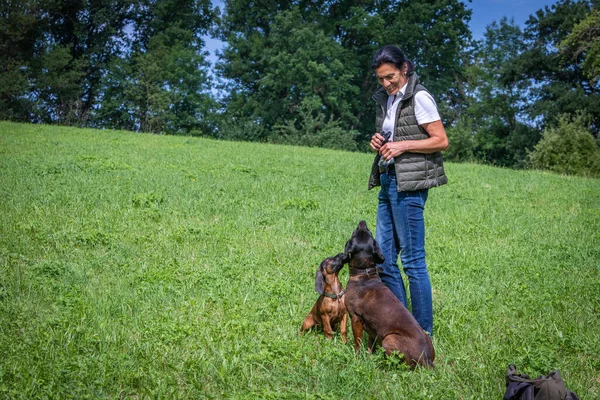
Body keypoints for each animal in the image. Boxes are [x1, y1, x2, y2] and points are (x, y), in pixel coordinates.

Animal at [342, 220, 436, 368]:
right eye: (369, 232)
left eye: (355, 232)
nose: (363, 222)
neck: (365, 273)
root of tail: (426, 359)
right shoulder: (372, 329)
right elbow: (370, 345)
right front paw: (369, 358)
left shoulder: (355, 318)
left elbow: (358, 343)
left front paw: (357, 358)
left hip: (389, 339)